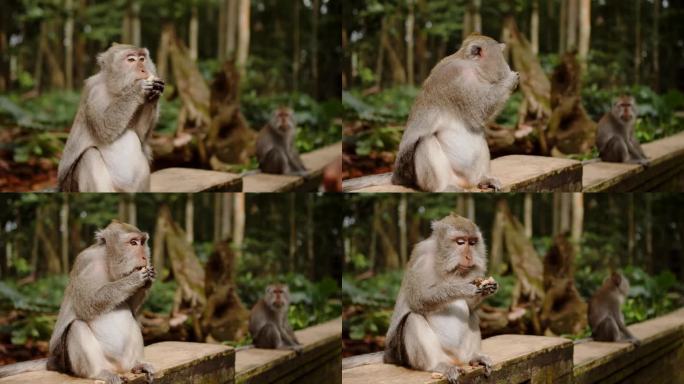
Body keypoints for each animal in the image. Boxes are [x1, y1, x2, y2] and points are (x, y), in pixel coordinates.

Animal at [0, 220, 156, 382]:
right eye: (133, 243)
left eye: (142, 242)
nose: (145, 257)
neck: (107, 261)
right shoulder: (88, 263)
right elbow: (86, 304)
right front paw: (134, 279)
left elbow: (131, 308)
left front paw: (148, 281)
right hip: (69, 362)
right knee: (76, 326)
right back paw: (97, 373)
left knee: (134, 319)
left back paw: (138, 365)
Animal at [58, 43, 165, 192]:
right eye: (131, 60)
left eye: (142, 59)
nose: (144, 70)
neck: (115, 90)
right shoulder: (95, 94)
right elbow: (104, 129)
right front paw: (138, 89)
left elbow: (140, 136)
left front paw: (153, 96)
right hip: (73, 185)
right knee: (89, 154)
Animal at [342, 34, 520, 192]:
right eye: (501, 56)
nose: (507, 66)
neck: (471, 66)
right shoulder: (457, 81)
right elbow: (478, 112)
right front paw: (511, 78)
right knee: (426, 141)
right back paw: (442, 188)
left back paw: (483, 179)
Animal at [384, 213, 496, 384]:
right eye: (460, 242)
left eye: (472, 242)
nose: (469, 256)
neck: (443, 264)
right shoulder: (421, 259)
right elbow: (418, 299)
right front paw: (464, 288)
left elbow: (470, 307)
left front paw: (487, 288)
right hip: (405, 354)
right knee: (412, 318)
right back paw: (437, 366)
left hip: (461, 353)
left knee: (472, 313)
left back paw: (474, 357)